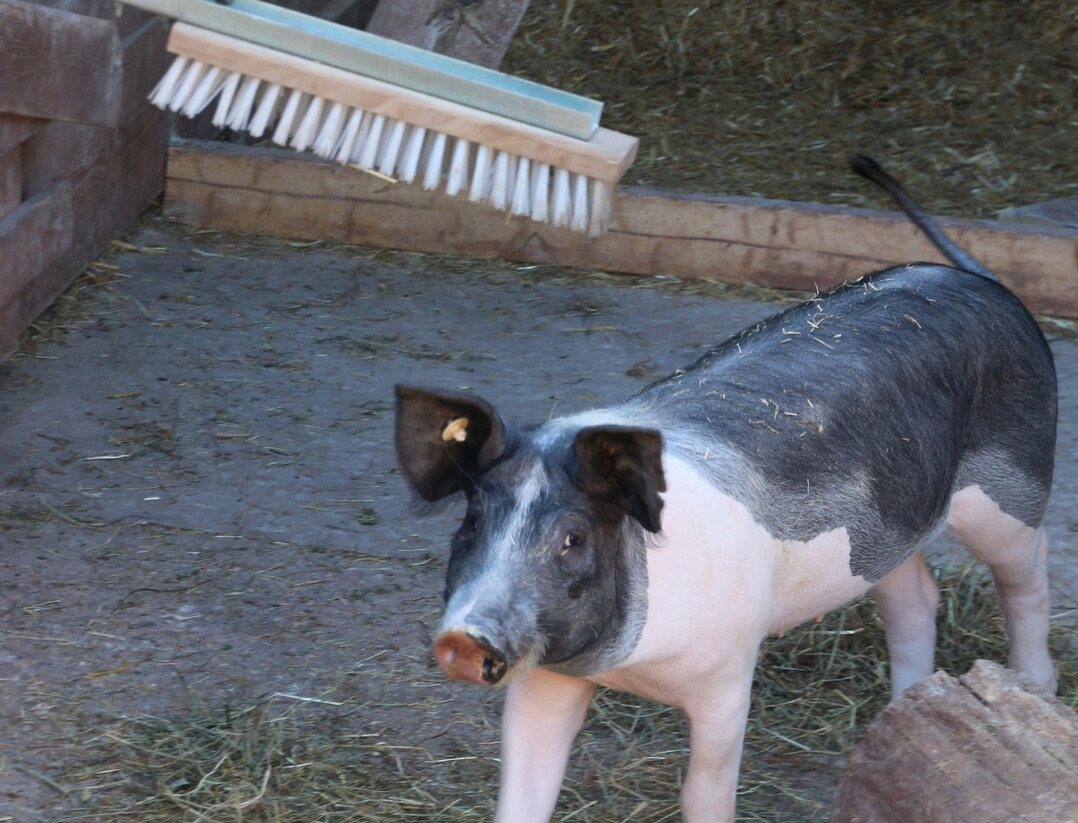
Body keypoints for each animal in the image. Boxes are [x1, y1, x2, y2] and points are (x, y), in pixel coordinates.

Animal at [394, 155, 1057, 822]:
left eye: (573, 538)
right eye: (472, 521)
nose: (463, 637)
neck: (629, 664)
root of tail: (985, 282)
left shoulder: (729, 670)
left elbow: (704, 788)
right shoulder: (549, 676)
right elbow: (521, 786)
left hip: (1011, 488)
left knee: (1028, 575)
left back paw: (1033, 689)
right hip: (891, 524)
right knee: (915, 600)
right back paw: (903, 712)